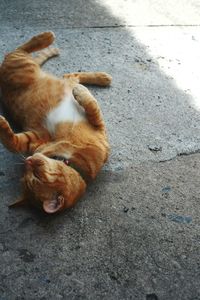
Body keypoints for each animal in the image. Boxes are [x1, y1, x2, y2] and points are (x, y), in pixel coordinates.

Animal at [0, 31, 111, 213]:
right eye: (27, 173)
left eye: (36, 176)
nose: (28, 160)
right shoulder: (35, 138)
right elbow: (13, 142)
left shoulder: (99, 128)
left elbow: (91, 106)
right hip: (23, 65)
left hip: (23, 65)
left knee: (21, 51)